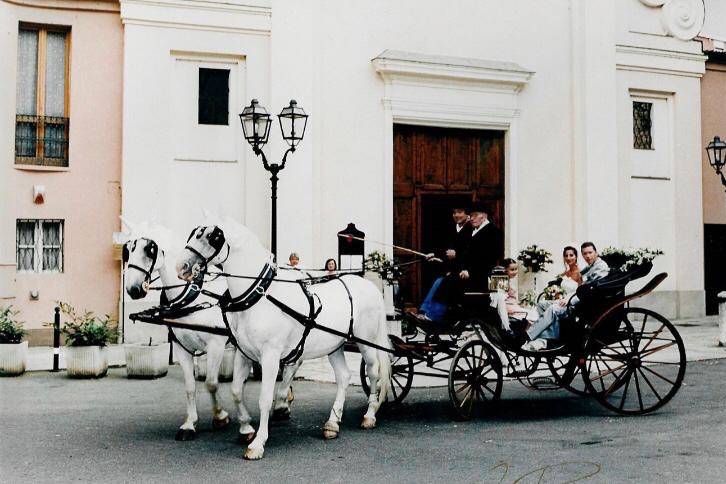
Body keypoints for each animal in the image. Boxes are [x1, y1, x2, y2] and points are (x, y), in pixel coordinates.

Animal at [121, 223, 233, 442]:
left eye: (150, 249)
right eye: (128, 249)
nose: (133, 289)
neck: (192, 297)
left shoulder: (216, 345)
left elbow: (211, 383)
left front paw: (220, 416)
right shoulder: (182, 348)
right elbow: (190, 386)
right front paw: (190, 424)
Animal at [176, 217, 392, 460]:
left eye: (212, 237)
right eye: (194, 232)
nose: (181, 267)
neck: (260, 295)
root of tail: (369, 286)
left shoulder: (270, 355)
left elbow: (264, 398)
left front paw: (258, 442)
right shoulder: (244, 353)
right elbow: (236, 391)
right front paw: (246, 428)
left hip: (365, 342)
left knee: (374, 373)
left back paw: (370, 414)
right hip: (334, 345)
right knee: (344, 377)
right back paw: (333, 422)